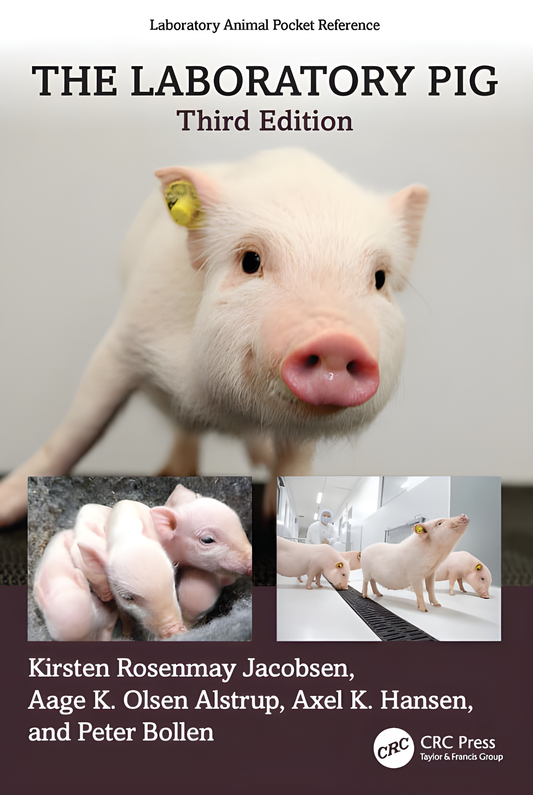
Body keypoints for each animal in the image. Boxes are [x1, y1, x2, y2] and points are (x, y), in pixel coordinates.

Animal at [0, 149, 428, 525]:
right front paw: (7, 507)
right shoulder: (127, 337)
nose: (337, 341)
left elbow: (294, 461)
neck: (228, 410)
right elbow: (77, 428)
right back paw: (175, 468)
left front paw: (272, 514)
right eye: (250, 261)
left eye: (380, 278)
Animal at [76, 500, 187, 639]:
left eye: (172, 583)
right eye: (127, 597)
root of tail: (125, 500)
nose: (176, 630)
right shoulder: (117, 599)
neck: (127, 537)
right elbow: (124, 617)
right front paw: (126, 636)